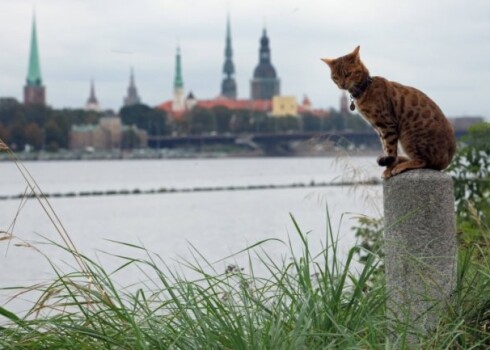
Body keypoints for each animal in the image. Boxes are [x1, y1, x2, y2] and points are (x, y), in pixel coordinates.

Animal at [322, 46, 456, 178]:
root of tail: (447, 161)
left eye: (348, 74)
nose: (341, 85)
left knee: (423, 161)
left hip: (409, 136)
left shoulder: (387, 125)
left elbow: (391, 150)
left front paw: (389, 170)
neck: (365, 89)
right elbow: (386, 149)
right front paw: (389, 165)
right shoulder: (379, 128)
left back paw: (402, 165)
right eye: (335, 77)